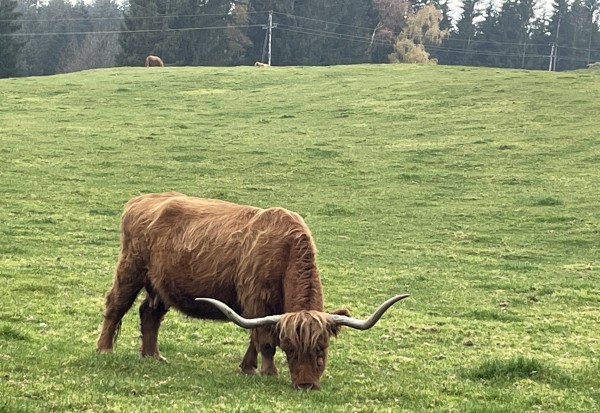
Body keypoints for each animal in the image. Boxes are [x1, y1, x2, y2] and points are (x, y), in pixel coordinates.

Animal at [97, 192, 408, 388]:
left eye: (322, 348)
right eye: (290, 349)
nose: (306, 385)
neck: (285, 251)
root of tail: (140, 200)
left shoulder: (261, 308)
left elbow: (255, 337)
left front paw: (247, 367)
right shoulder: (257, 300)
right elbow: (264, 339)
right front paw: (267, 372)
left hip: (163, 284)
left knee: (149, 314)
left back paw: (153, 355)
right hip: (131, 269)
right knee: (115, 306)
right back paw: (104, 350)